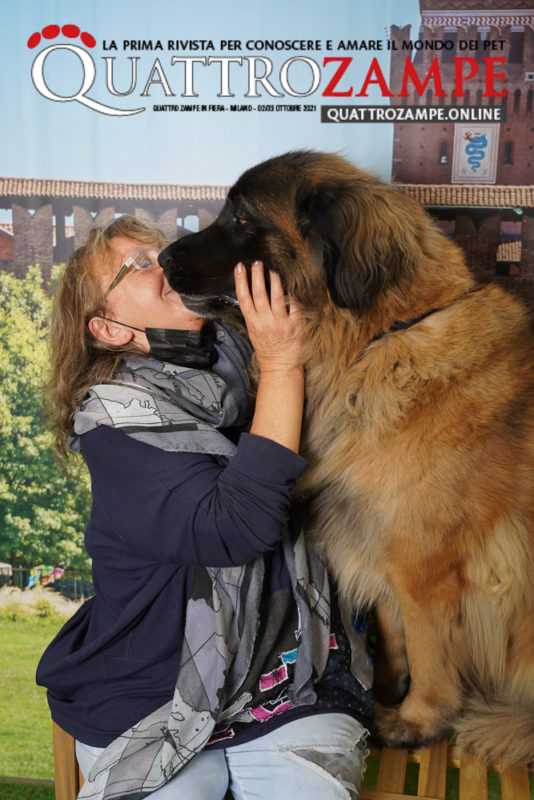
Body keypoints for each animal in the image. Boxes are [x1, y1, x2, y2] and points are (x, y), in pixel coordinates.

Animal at [159, 150, 534, 764]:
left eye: (242, 219)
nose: (162, 258)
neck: (370, 346)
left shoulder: (424, 564)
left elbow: (429, 649)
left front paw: (419, 718)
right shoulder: (375, 542)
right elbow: (395, 630)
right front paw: (383, 685)